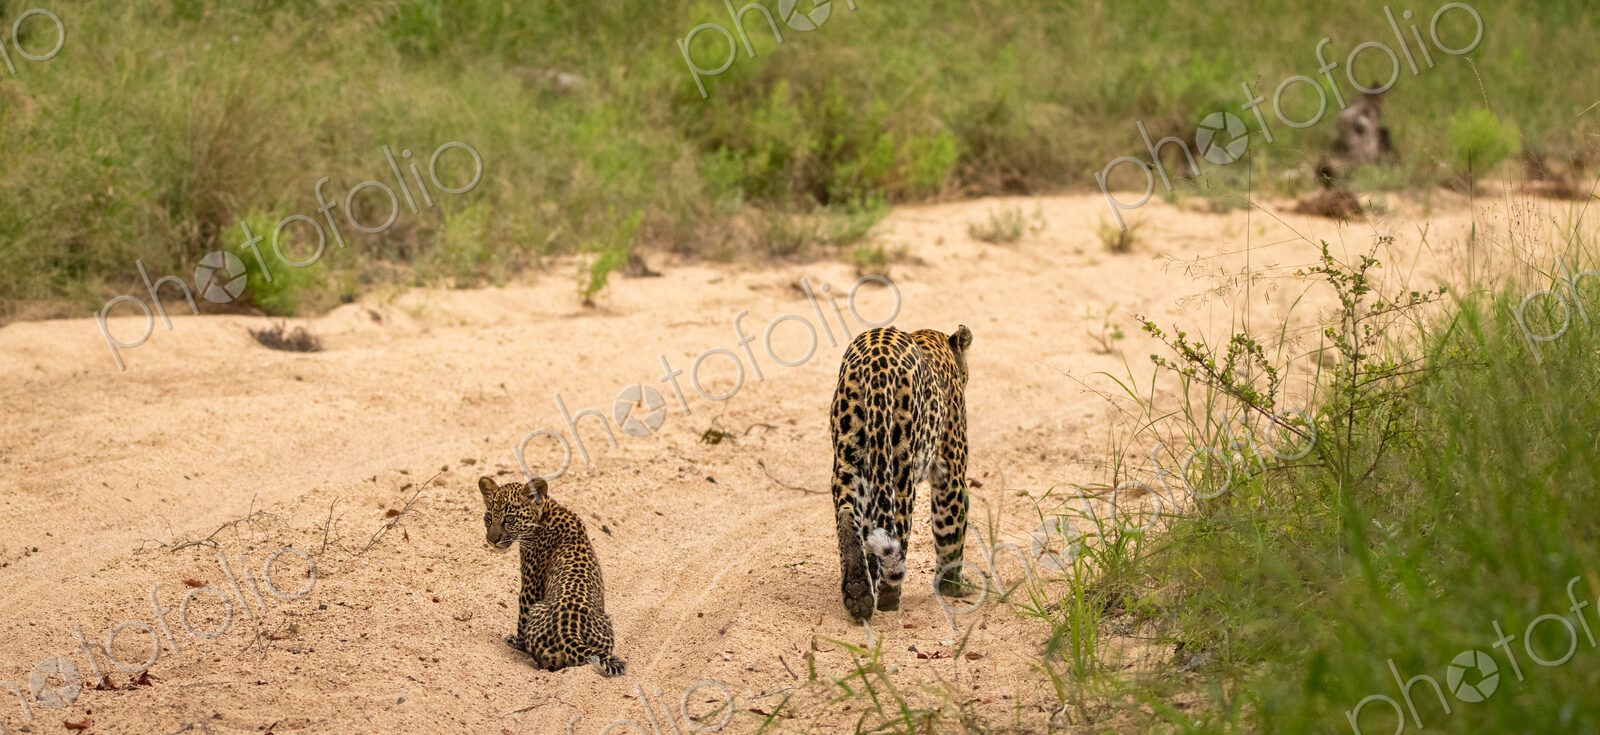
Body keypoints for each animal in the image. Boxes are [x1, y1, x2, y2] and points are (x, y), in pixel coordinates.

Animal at [477, 475, 626, 677]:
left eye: (509, 519)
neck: (546, 511)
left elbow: (522, 615)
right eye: (489, 518)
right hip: (606, 623)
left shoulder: (531, 587)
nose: (492, 540)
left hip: (538, 610)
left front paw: (517, 641)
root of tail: (569, 634)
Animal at [829, 324, 973, 622]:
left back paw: (858, 591)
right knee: (897, 531)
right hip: (901, 471)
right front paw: (953, 588)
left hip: (848, 459)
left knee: (848, 516)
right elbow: (951, 535)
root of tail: (876, 363)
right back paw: (887, 598)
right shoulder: (951, 475)